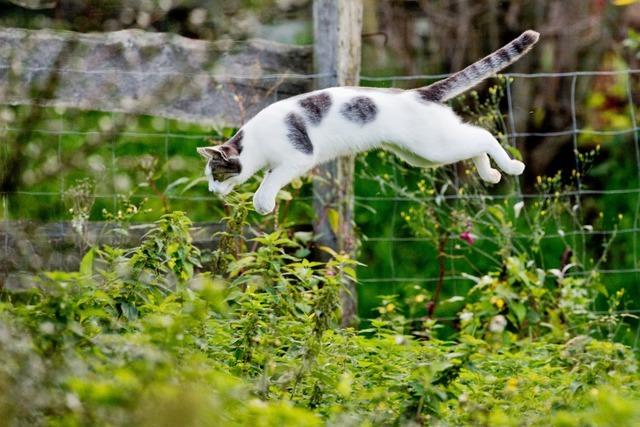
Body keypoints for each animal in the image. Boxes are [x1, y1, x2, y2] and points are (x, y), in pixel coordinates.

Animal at [198, 30, 536, 216]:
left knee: (485, 135)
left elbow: (268, 182)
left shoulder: (298, 157)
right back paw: (491, 174)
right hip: (423, 154)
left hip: (433, 147)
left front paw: (263, 203)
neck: (255, 143)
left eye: (216, 174)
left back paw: (511, 167)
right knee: (473, 140)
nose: (212, 191)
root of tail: (419, 92)